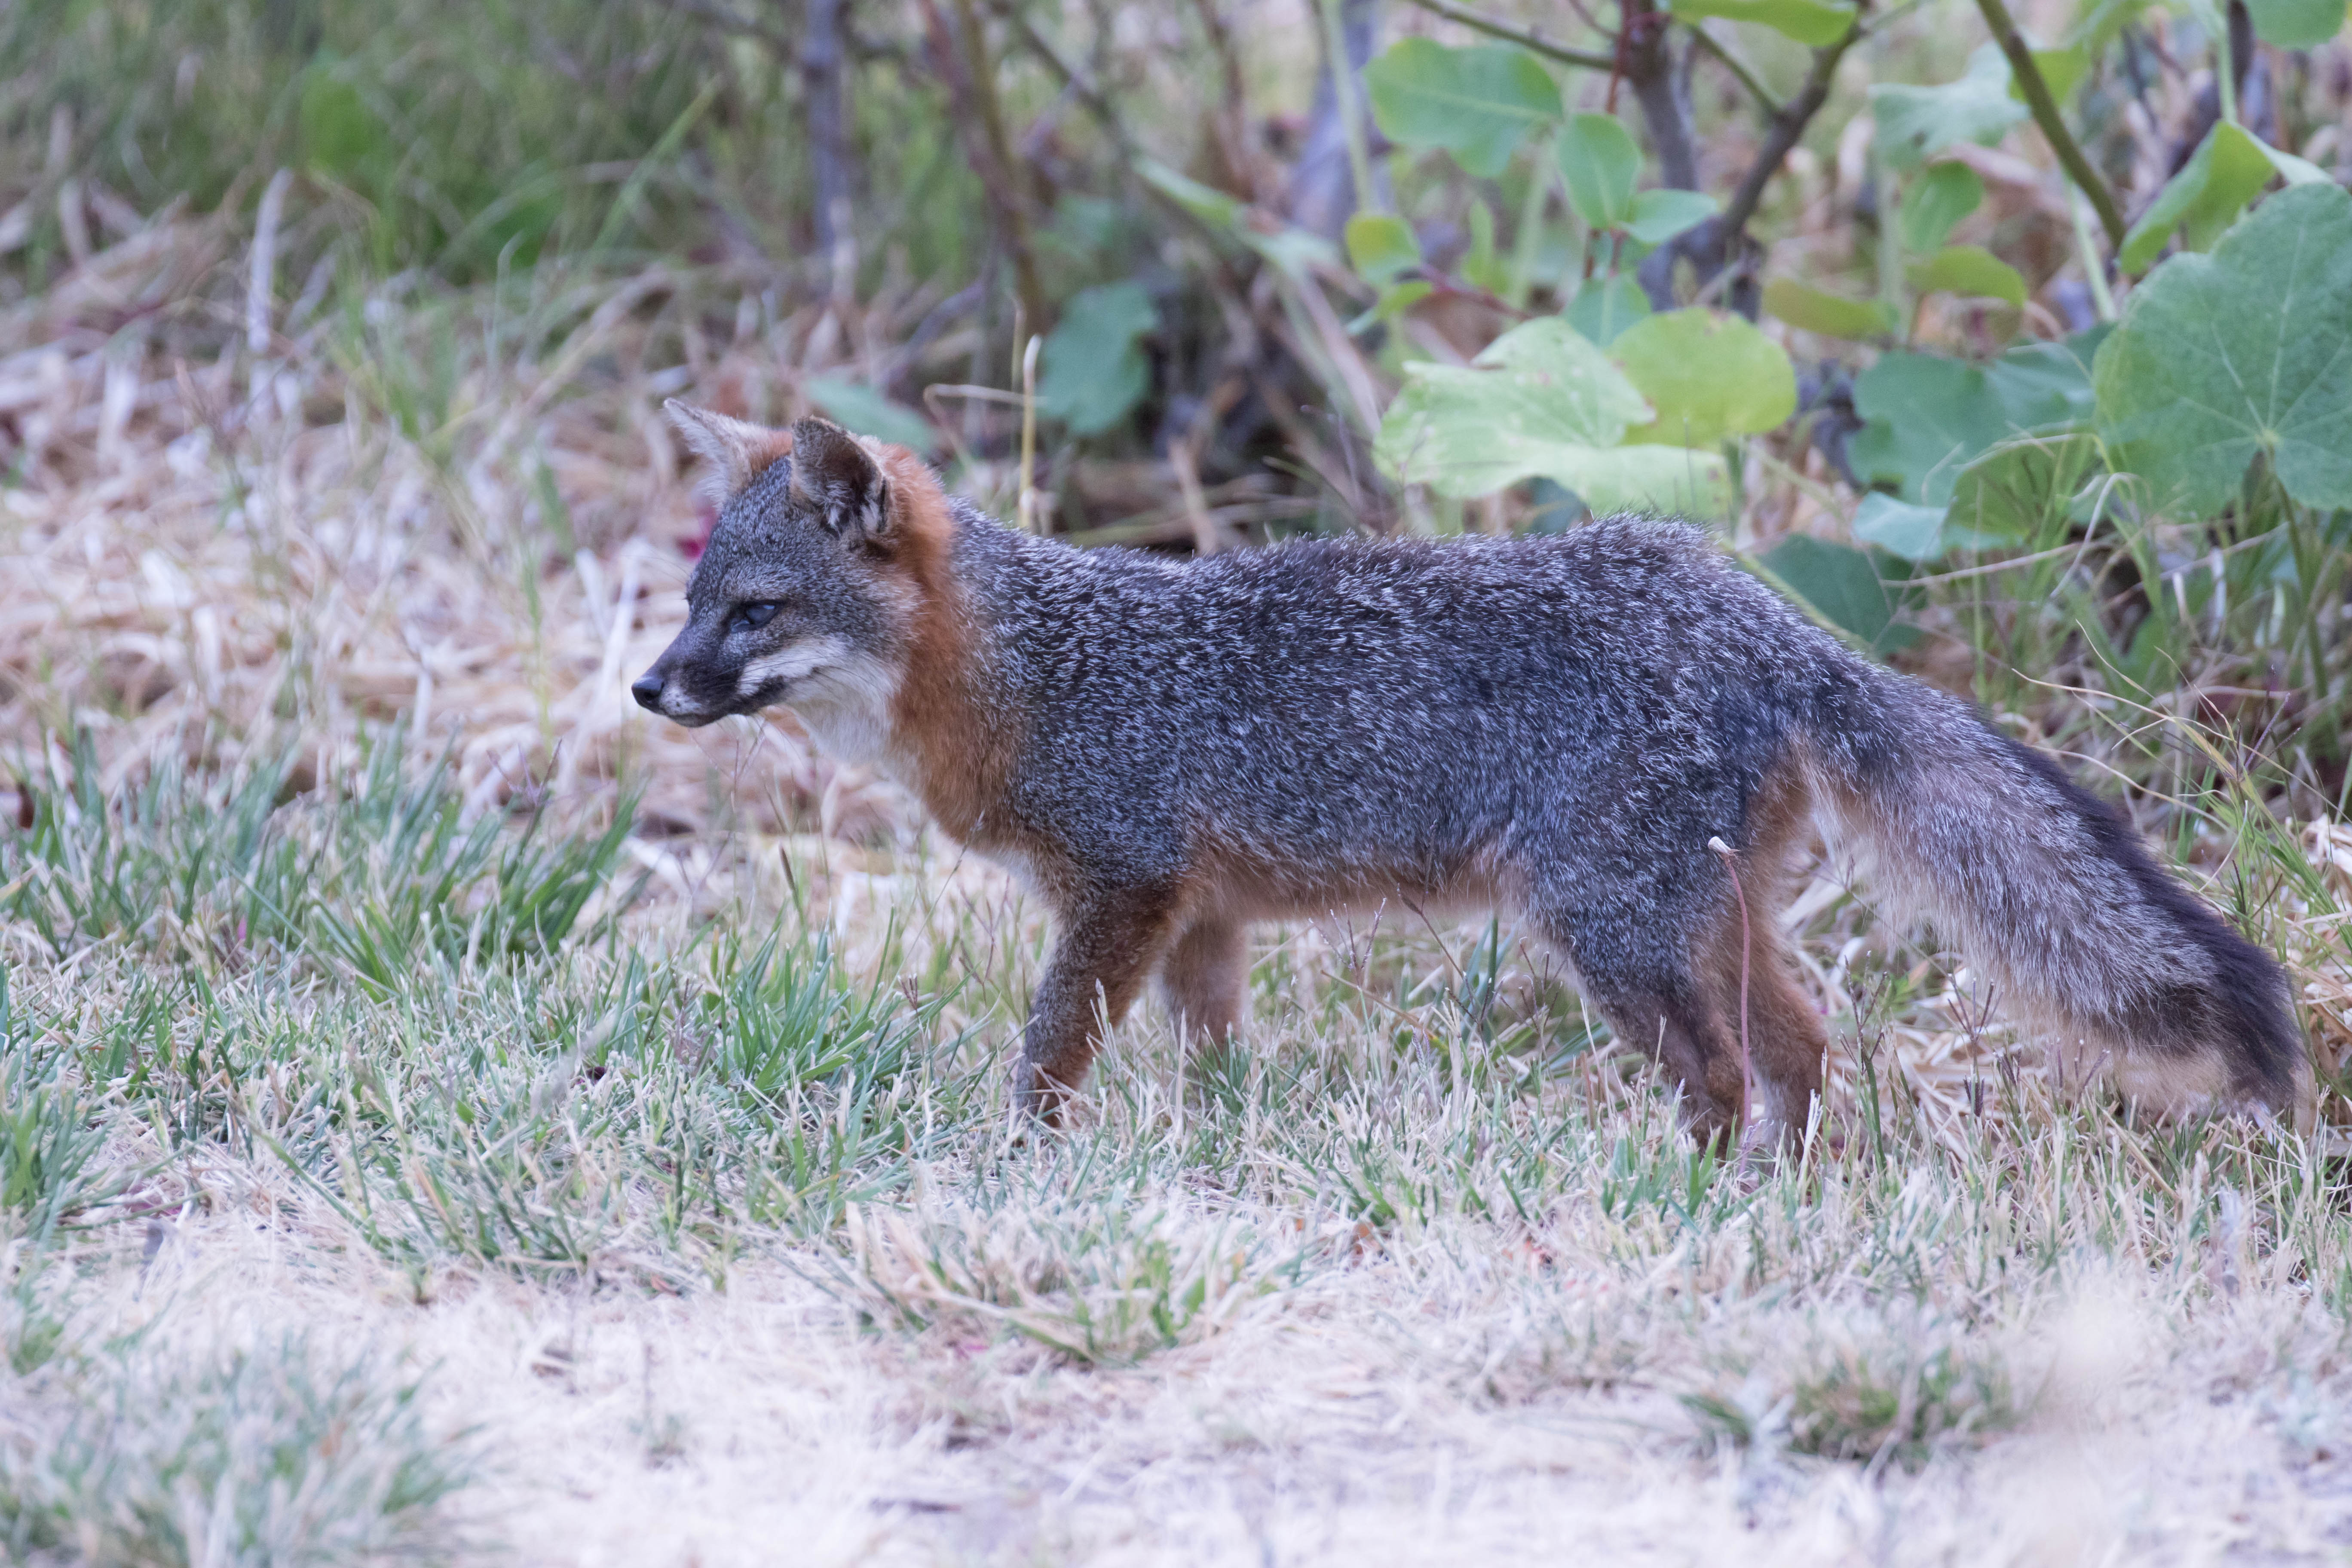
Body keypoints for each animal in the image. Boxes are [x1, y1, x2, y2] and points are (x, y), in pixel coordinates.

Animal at [633, 401, 2310, 1145]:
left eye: (751, 611)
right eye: (692, 598)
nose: (648, 685)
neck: (1031, 668)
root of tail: (1760, 610)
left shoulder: (1122, 885)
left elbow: (1050, 1046)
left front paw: (1016, 1156)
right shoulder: (1203, 913)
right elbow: (1213, 1052)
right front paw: (1222, 1147)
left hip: (1609, 930)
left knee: (1724, 1072)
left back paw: (1686, 1197)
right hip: (1701, 919)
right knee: (1805, 1043)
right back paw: (1780, 1198)